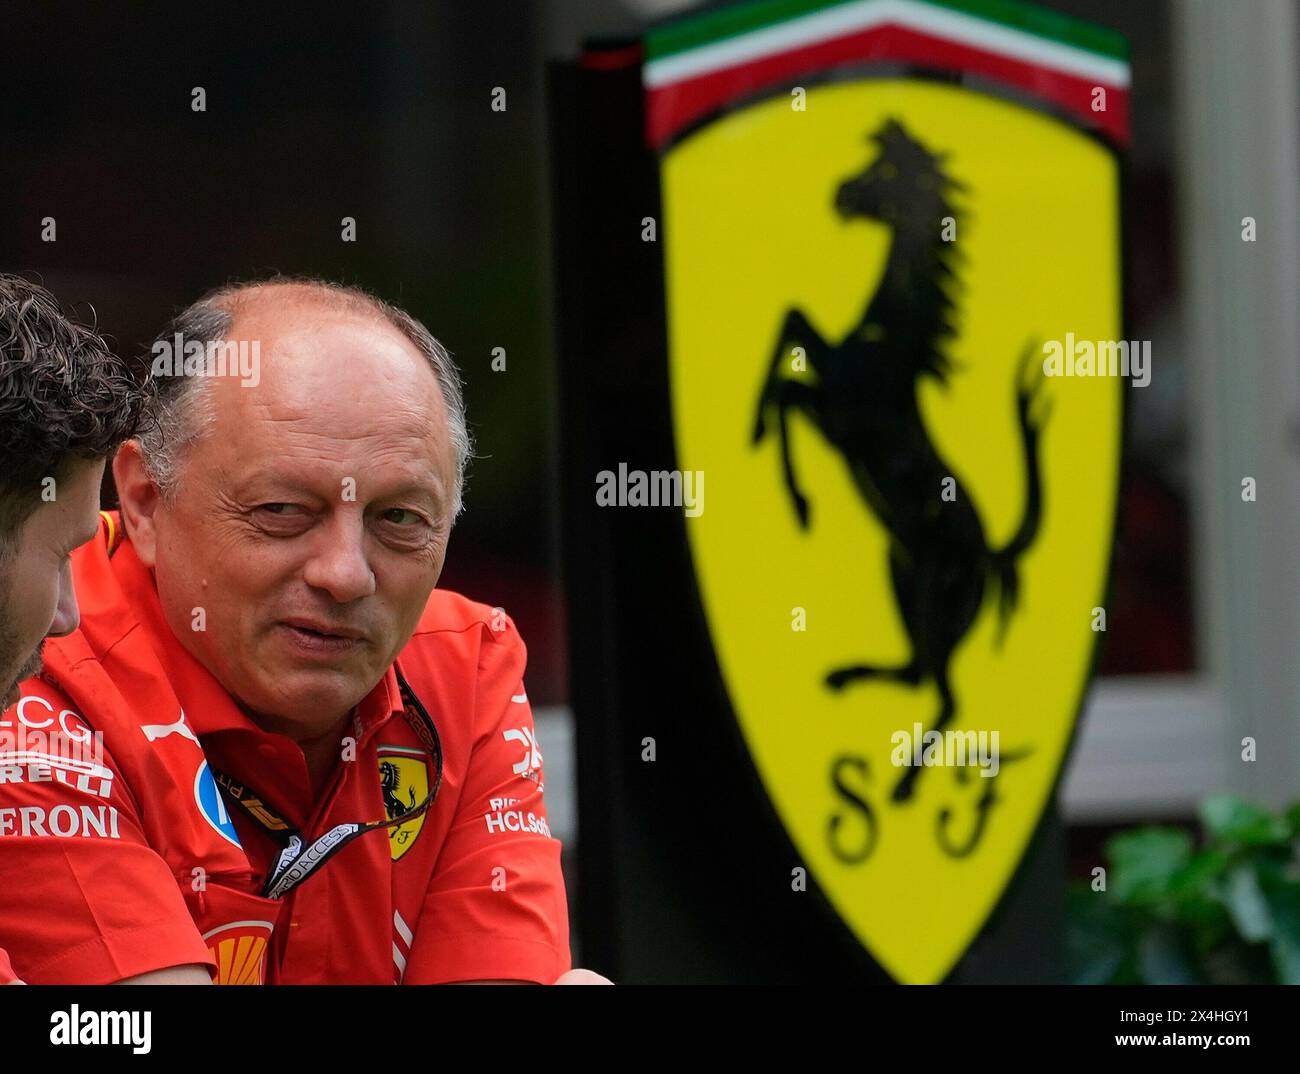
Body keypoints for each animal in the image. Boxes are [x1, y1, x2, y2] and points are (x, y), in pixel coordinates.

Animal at [754, 117, 1045, 800]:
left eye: (886, 173)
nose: (838, 194)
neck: (888, 335)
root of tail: (989, 554)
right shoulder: (829, 394)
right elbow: (791, 327)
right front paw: (758, 435)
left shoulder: (838, 412)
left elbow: (788, 377)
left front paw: (798, 502)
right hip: (900, 574)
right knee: (917, 674)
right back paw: (846, 678)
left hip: (942, 603)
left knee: (947, 697)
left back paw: (905, 782)